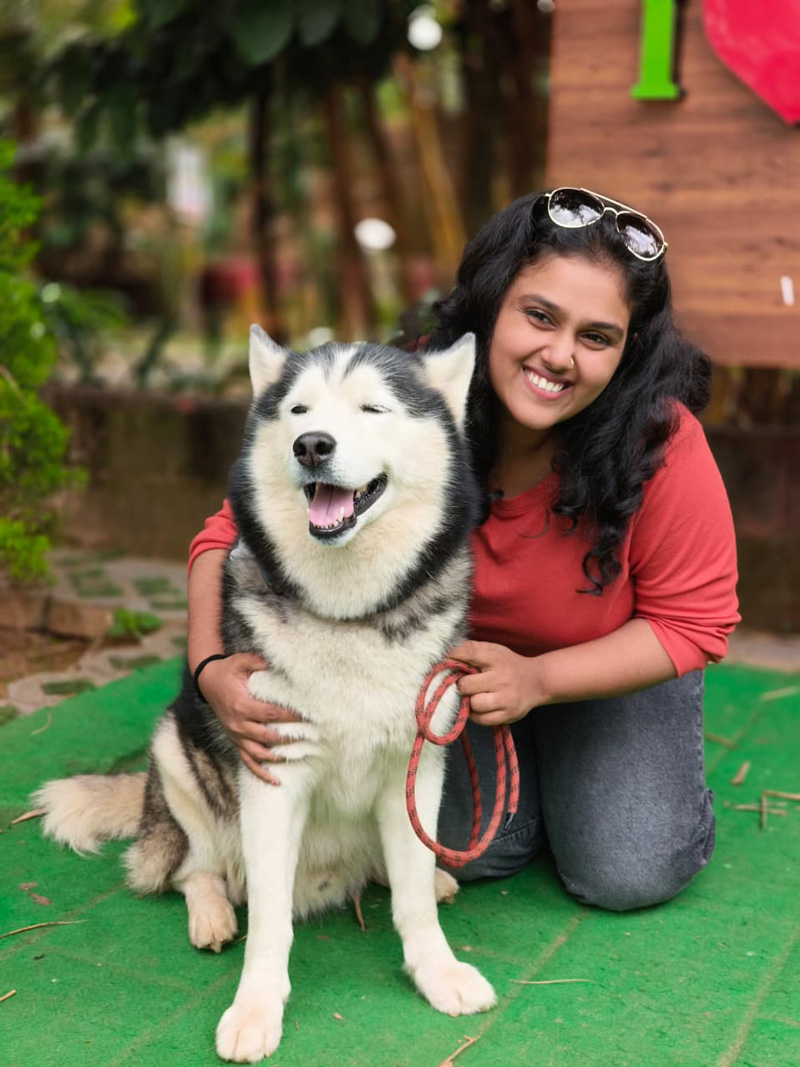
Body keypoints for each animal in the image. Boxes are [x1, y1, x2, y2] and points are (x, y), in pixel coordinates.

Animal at [35, 326, 497, 1062]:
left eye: (371, 409)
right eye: (299, 411)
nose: (312, 446)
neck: (346, 615)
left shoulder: (418, 762)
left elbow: (415, 903)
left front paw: (438, 972)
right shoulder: (274, 777)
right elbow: (272, 921)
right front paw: (255, 1010)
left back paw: (423, 875)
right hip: (176, 756)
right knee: (190, 868)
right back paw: (212, 914)